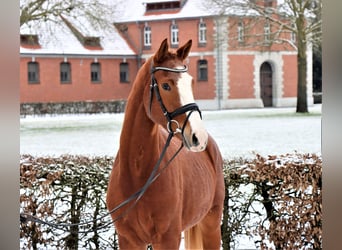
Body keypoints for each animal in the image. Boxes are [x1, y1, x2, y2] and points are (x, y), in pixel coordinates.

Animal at [107, 38, 224, 249]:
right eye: (166, 86)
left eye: (191, 82)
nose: (198, 136)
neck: (137, 174)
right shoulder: (128, 240)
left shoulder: (168, 238)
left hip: (211, 224)